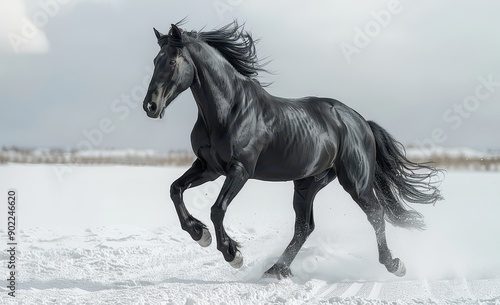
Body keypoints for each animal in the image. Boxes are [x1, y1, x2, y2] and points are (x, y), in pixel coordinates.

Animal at [142, 20, 442, 278]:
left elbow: (217, 208)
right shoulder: (208, 168)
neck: (229, 111)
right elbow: (175, 189)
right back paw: (276, 270)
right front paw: (199, 234)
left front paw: (232, 254)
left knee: (376, 215)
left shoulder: (239, 170)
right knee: (304, 227)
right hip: (308, 183)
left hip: (355, 181)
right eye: (155, 61)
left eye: (171, 61)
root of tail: (359, 120)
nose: (150, 106)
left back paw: (394, 264)